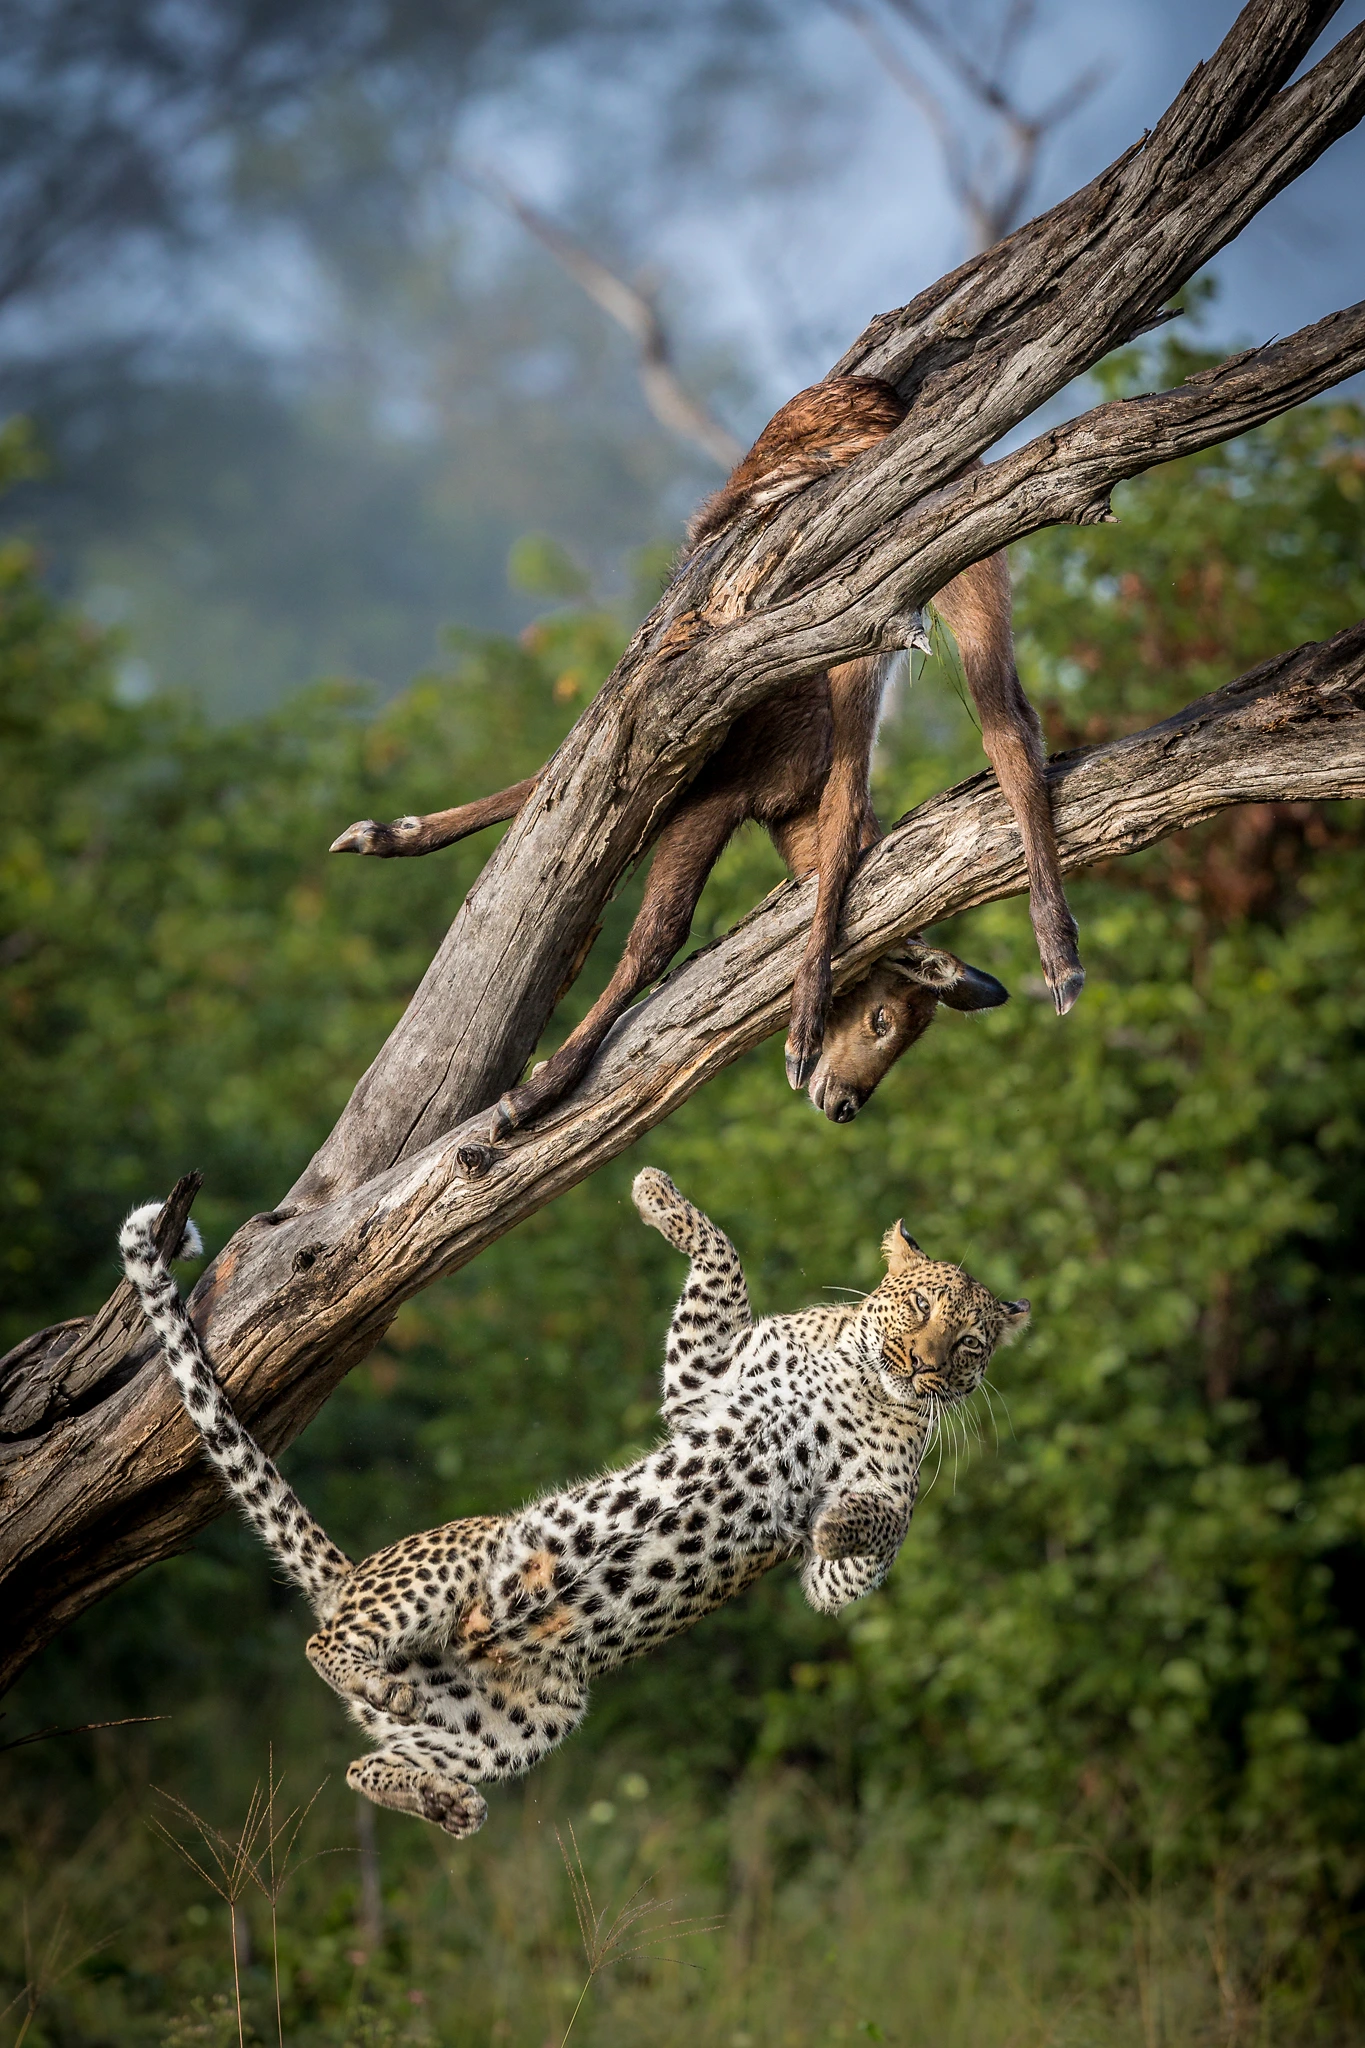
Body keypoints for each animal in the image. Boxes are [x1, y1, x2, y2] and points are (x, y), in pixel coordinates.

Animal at [122, 1171, 1031, 1843]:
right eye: (918, 1307)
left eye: (969, 1345)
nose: (923, 1365)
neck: (860, 1376)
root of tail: (350, 1579)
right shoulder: (702, 1388)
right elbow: (720, 1260)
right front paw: (658, 1194)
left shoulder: (848, 1554)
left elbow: (876, 1531)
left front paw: (837, 1523)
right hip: (462, 1561)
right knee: (323, 1647)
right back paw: (383, 1695)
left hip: (523, 1724)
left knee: (362, 1759)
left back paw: (444, 1796)